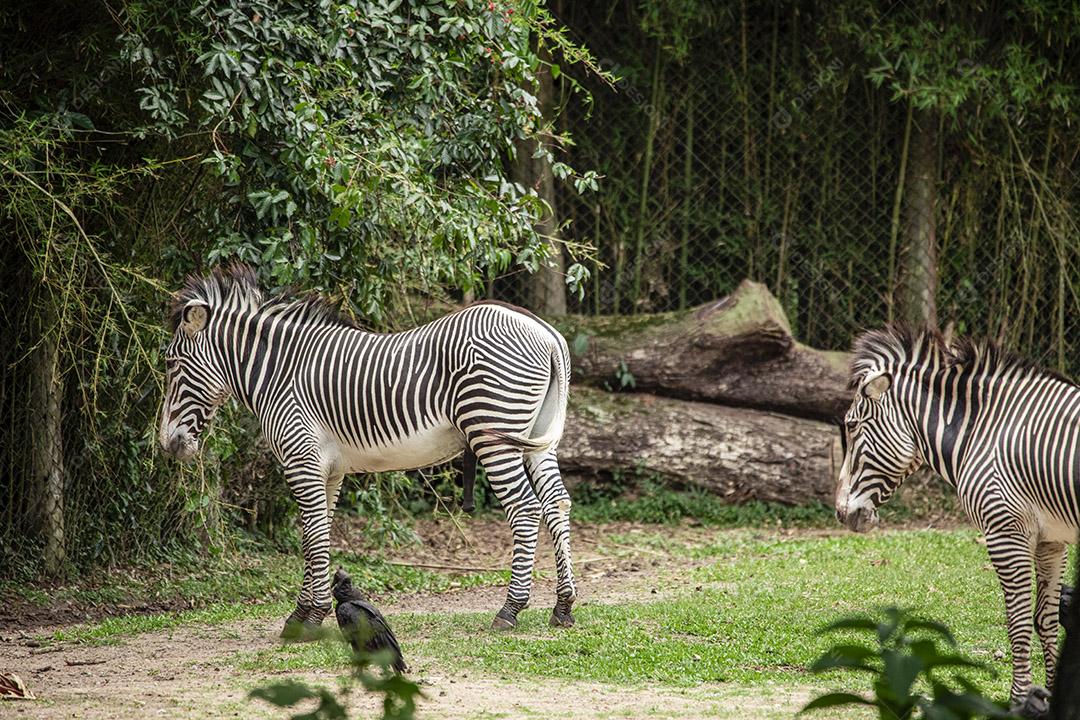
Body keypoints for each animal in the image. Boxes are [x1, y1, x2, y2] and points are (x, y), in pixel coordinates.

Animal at [157, 264, 578, 634]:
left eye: (172, 364)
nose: (167, 444)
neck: (277, 373)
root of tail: (543, 330)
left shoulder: (301, 461)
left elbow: (310, 537)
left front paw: (311, 616)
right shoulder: (329, 470)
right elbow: (320, 532)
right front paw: (305, 612)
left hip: (493, 434)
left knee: (525, 509)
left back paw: (510, 610)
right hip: (538, 439)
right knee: (557, 503)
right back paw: (563, 606)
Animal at [833, 328, 1080, 716]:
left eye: (853, 426)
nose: (841, 513)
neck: (983, 432)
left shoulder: (1005, 532)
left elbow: (1018, 621)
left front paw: (1018, 703)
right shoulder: (1052, 540)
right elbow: (1046, 620)